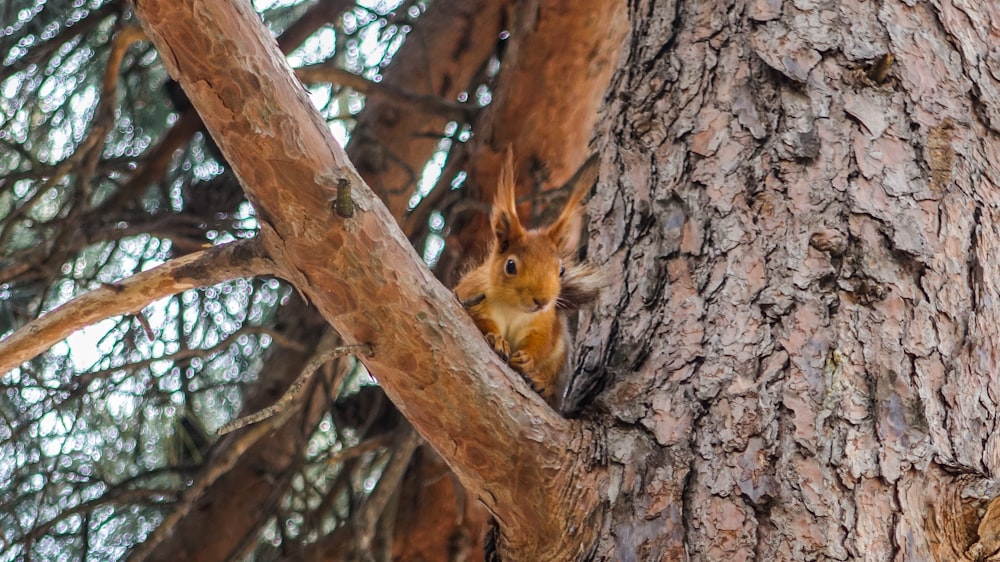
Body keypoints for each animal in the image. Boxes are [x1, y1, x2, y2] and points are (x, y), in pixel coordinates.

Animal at [456, 147, 600, 404]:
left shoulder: (545, 321)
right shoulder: (472, 294)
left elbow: (542, 343)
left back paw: (543, 385)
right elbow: (480, 320)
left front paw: (527, 358)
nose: (541, 300)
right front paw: (497, 339)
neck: (514, 310)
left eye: (561, 270)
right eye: (510, 266)